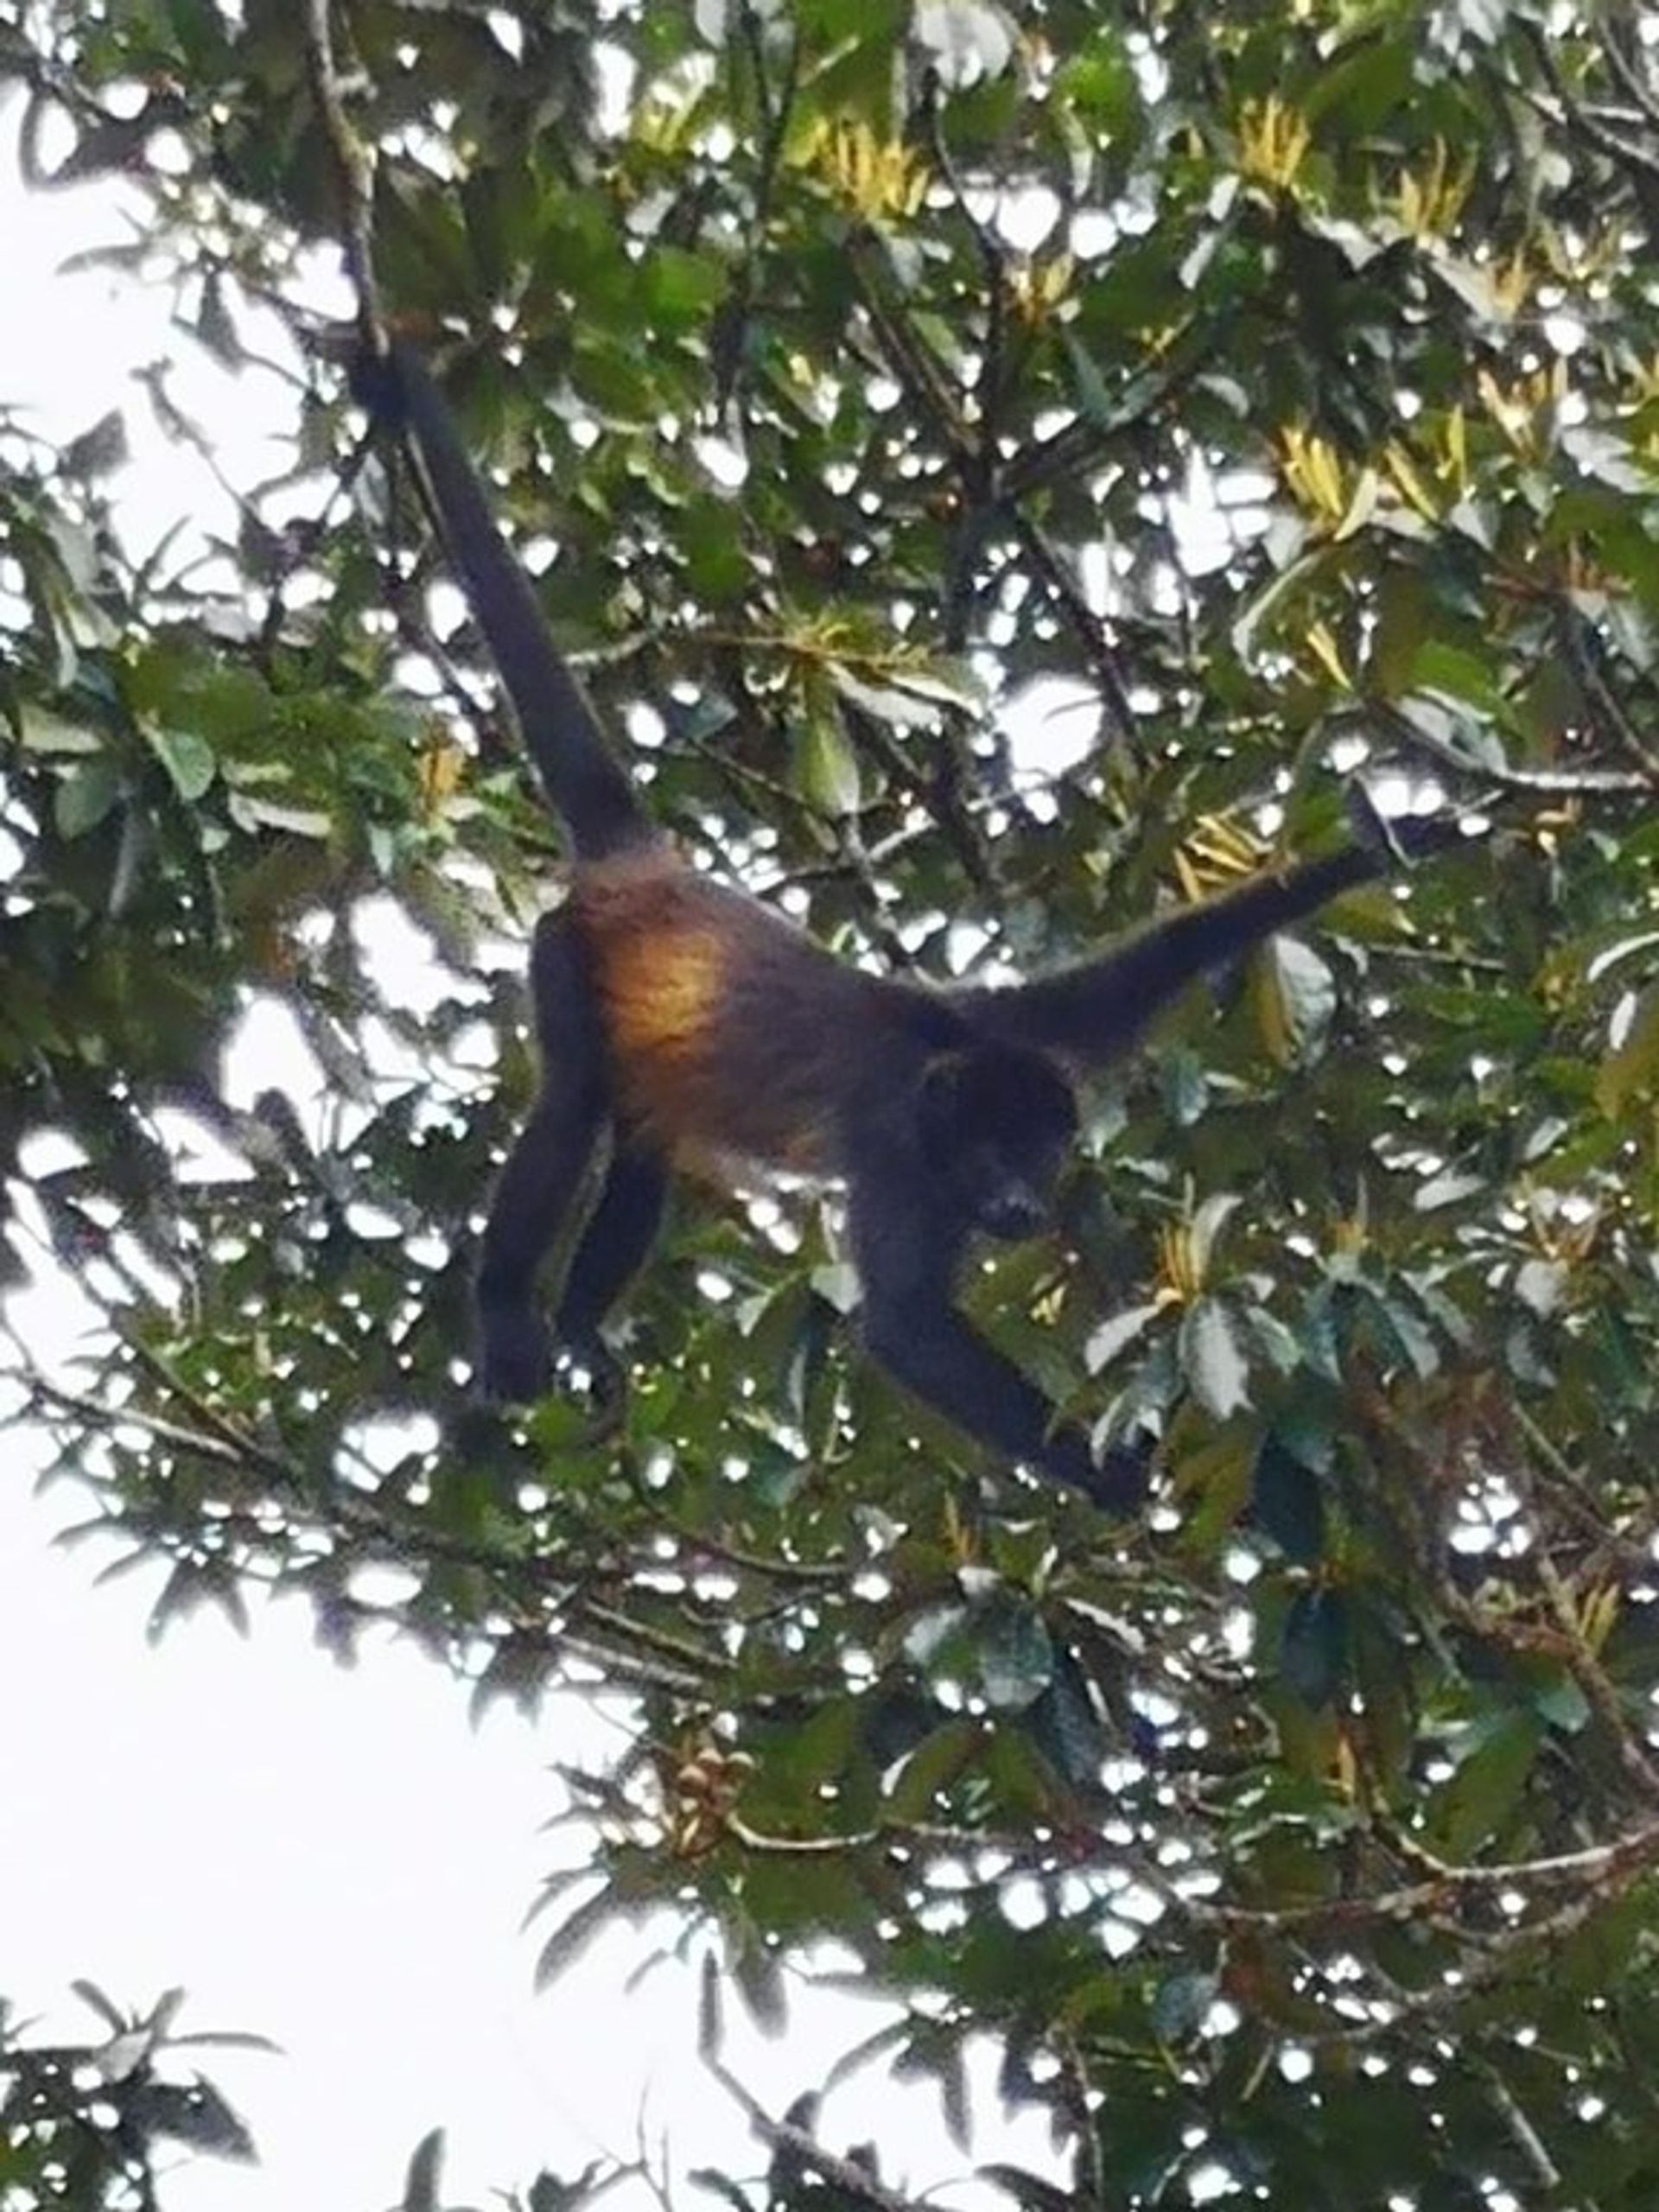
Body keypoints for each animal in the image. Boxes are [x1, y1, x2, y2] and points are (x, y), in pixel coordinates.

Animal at [360, 345, 1468, 1513]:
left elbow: (1165, 954)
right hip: (566, 951)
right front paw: (1120, 1472)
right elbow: (903, 1327)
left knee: (645, 1123)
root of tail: (646, 867)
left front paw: (1401, 837)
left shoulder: (1030, 1023)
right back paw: (514, 1318)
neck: (946, 1078)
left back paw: (580, 1322)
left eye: (1042, 1152)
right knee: (574, 1097)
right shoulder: (895, 1151)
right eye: (991, 1154)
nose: (1023, 1206)